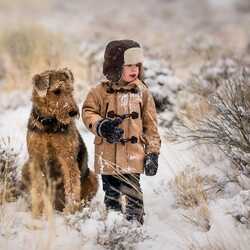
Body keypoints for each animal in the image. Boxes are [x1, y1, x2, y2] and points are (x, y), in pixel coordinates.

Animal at [22, 68, 97, 217]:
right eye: (56, 91)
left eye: (71, 90)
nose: (73, 112)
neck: (48, 124)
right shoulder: (36, 158)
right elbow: (39, 188)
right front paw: (39, 214)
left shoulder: (67, 157)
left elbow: (72, 186)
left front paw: (70, 211)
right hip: (25, 168)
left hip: (92, 177)